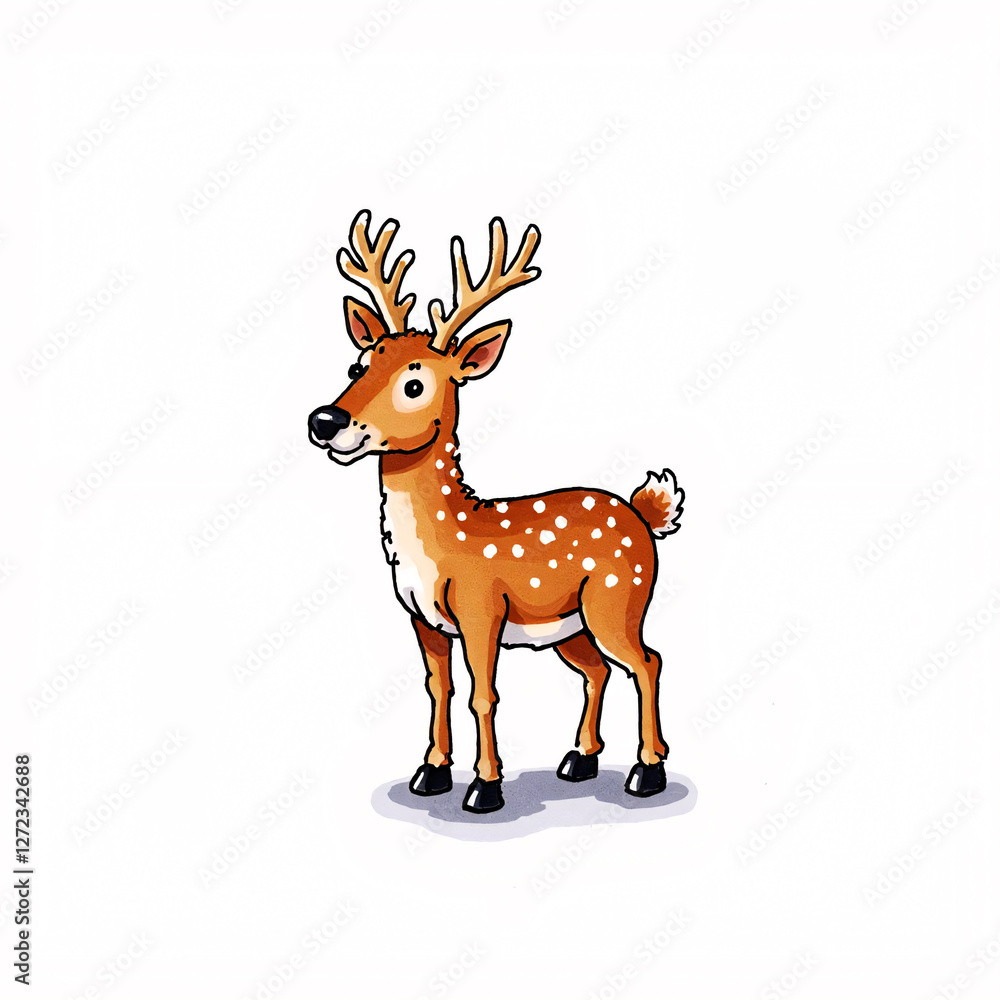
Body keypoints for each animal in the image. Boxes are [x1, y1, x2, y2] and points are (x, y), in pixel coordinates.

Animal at [308, 210, 684, 814]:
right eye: (356, 364)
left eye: (415, 382)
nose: (325, 421)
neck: (442, 545)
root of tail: (644, 514)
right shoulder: (422, 617)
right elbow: (438, 687)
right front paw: (430, 773)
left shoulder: (482, 607)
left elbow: (483, 694)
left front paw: (485, 789)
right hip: (569, 626)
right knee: (598, 670)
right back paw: (579, 760)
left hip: (617, 599)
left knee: (647, 661)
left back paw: (646, 772)